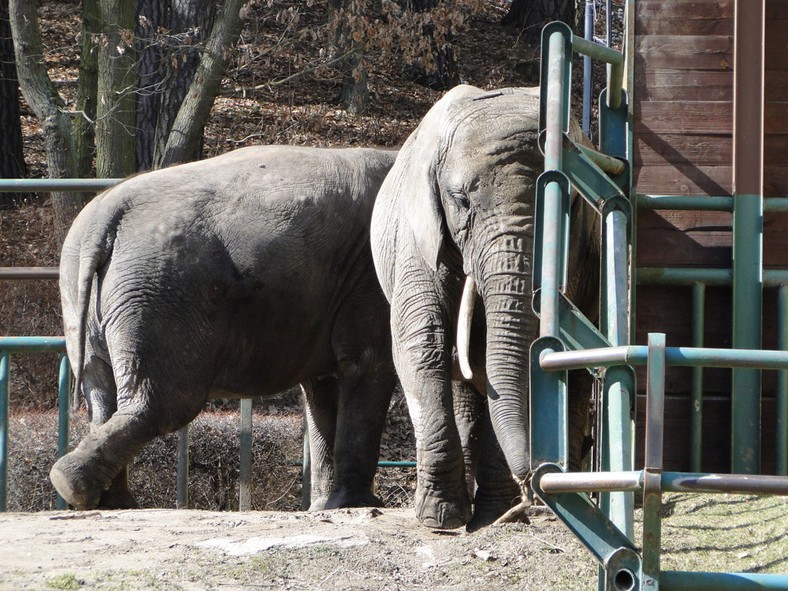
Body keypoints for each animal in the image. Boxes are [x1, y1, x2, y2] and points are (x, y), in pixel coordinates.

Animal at [47, 145, 400, 512]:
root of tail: (105, 214)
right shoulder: (373, 279)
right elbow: (367, 364)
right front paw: (355, 504)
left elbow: (323, 388)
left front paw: (325, 508)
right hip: (160, 291)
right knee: (165, 402)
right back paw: (78, 486)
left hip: (84, 291)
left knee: (103, 394)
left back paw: (111, 501)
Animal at [372, 84, 600, 532]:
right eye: (461, 200)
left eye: (569, 207)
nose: (533, 487)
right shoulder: (417, 235)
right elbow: (421, 342)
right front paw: (440, 519)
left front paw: (496, 515)